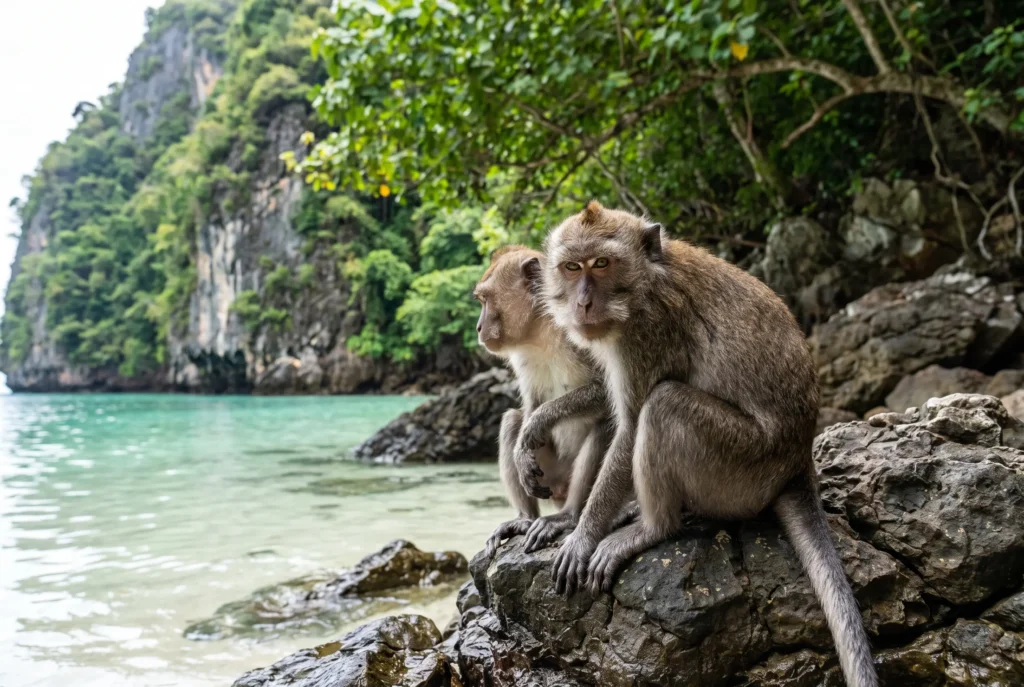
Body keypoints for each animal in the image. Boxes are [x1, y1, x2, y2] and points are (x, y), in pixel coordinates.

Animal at [474, 246, 612, 558]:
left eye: (485, 299)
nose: (478, 326)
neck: (542, 327)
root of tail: (560, 491)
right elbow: (530, 402)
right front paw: (521, 451)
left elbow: (606, 389)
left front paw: (541, 419)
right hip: (547, 476)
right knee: (511, 420)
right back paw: (525, 519)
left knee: (606, 424)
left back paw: (568, 516)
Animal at [525, 202, 877, 687]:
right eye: (572, 267)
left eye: (602, 263)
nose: (583, 302)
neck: (647, 282)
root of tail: (797, 462)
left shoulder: (649, 332)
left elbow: (630, 428)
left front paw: (582, 534)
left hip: (740, 467)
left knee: (665, 404)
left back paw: (654, 527)